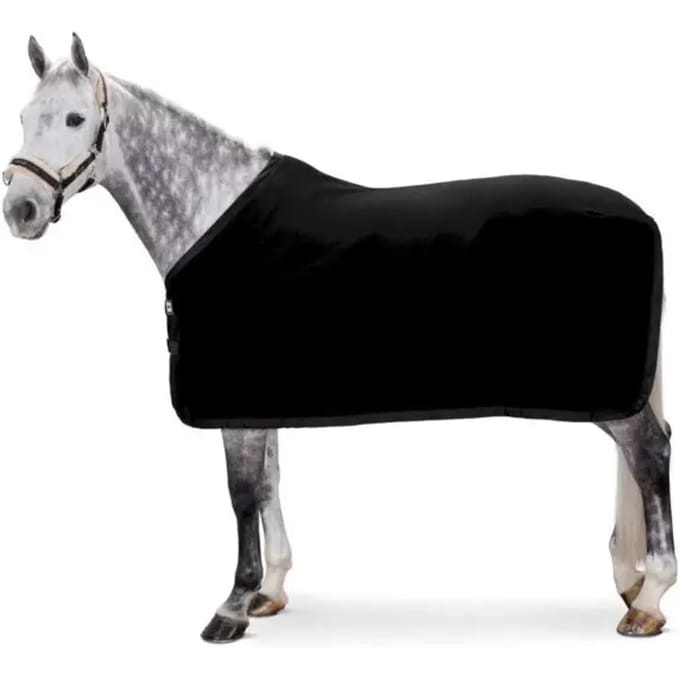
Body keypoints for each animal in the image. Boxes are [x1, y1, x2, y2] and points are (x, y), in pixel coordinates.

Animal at [2, 34, 676, 643]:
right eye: (24, 117)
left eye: (76, 118)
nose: (21, 211)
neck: (208, 209)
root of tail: (644, 216)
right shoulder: (255, 402)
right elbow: (269, 486)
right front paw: (271, 592)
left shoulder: (233, 404)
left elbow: (241, 495)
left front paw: (232, 606)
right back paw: (633, 584)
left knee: (649, 453)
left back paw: (649, 601)